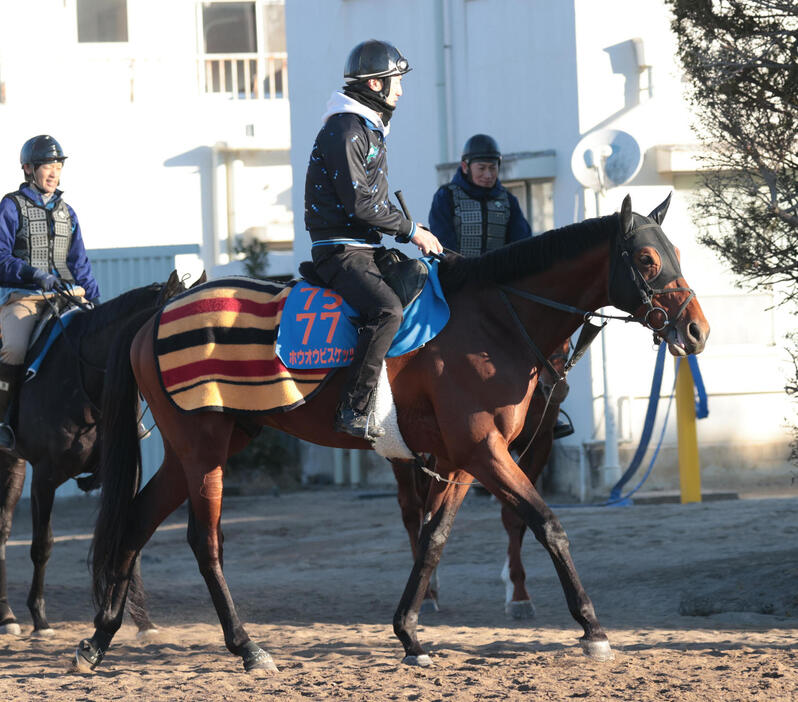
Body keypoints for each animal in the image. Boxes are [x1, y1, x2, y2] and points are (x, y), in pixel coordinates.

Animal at [0, 272, 198, 640]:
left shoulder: (122, 476)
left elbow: (128, 537)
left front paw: (142, 621)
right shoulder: (45, 478)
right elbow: (42, 546)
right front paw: (40, 619)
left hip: (14, 463)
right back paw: (8, 616)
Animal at [75, 194, 712, 676]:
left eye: (676, 253)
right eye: (647, 260)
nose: (697, 331)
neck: (494, 320)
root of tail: (160, 310)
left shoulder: (461, 459)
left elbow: (433, 539)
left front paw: (409, 634)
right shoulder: (486, 451)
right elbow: (548, 524)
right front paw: (592, 627)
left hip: (213, 443)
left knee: (137, 520)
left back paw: (100, 638)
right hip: (202, 446)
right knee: (203, 542)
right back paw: (247, 647)